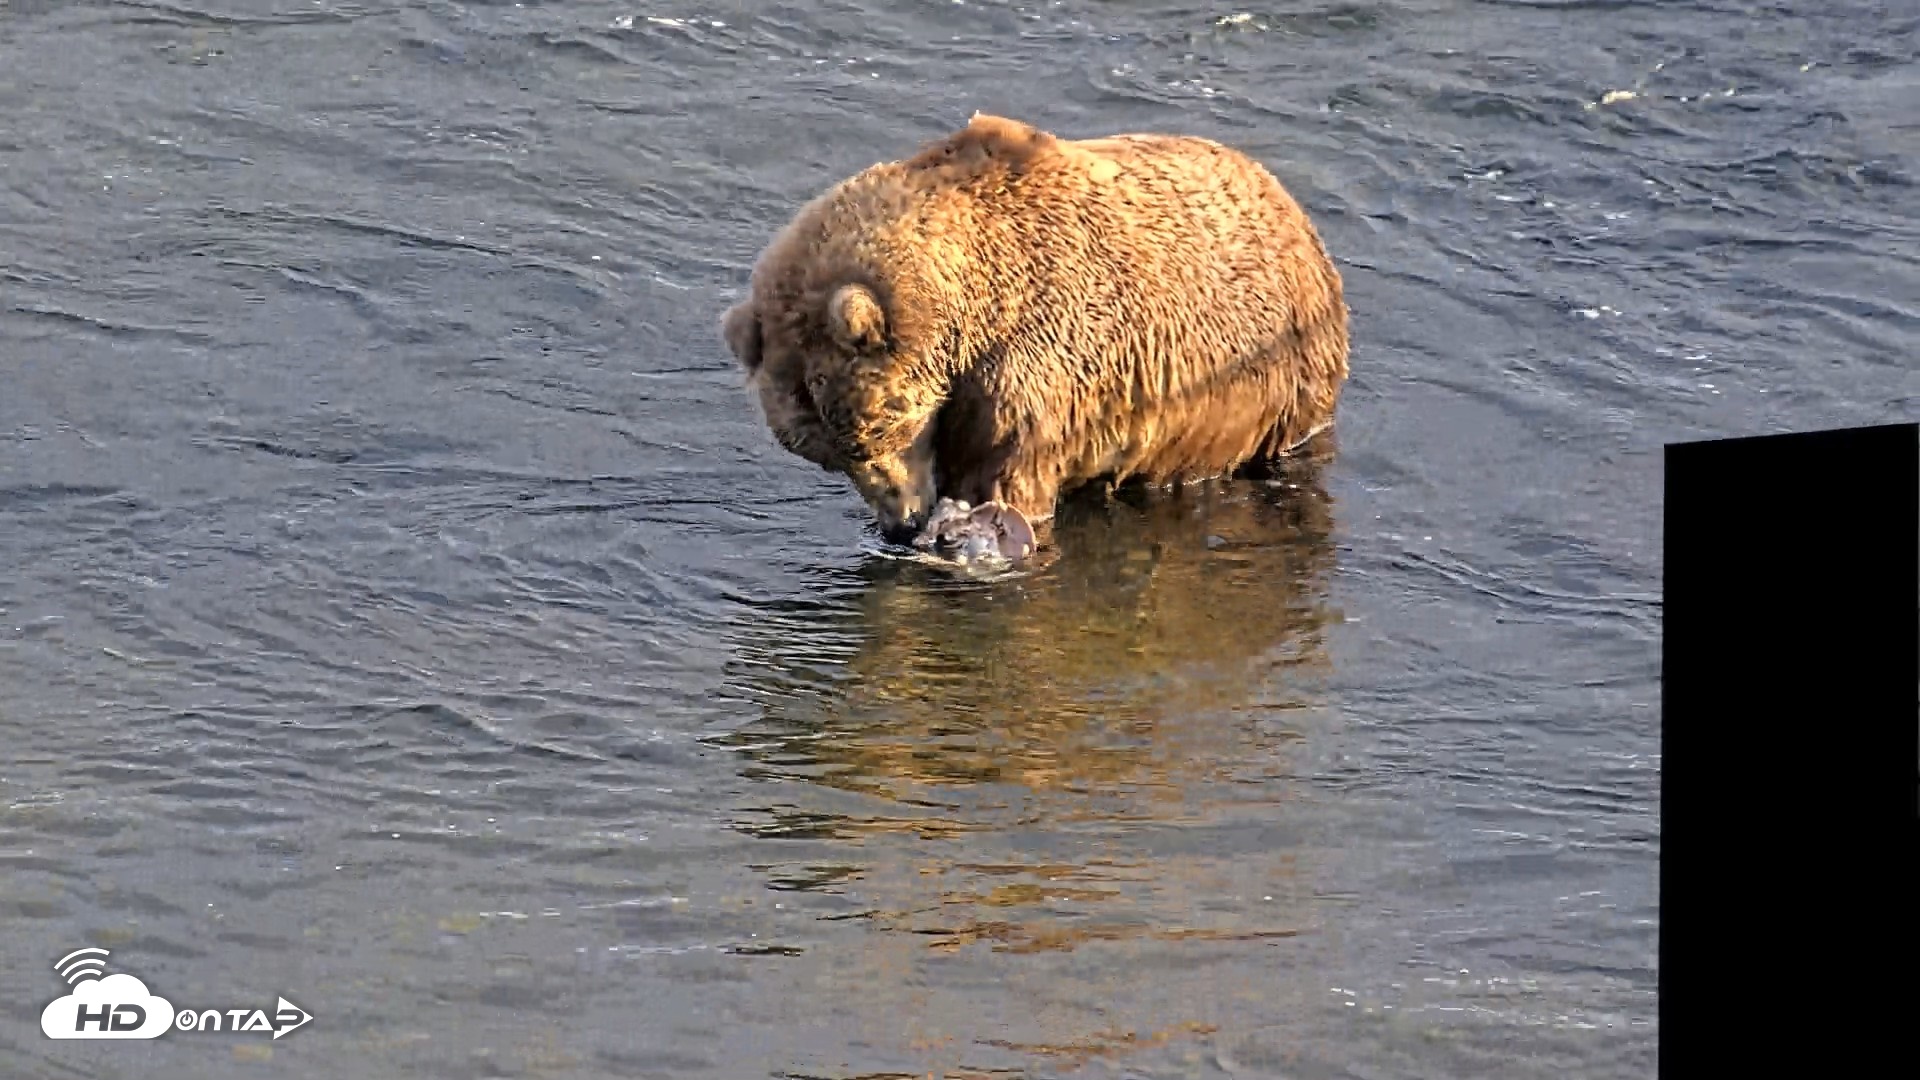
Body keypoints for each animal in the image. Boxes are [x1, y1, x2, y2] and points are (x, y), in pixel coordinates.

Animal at [720, 112, 1349, 548]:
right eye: (825, 456)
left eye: (868, 436)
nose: (900, 522)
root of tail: (1288, 199)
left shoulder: (1039, 359)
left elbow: (1010, 471)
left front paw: (975, 525)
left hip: (1277, 377)